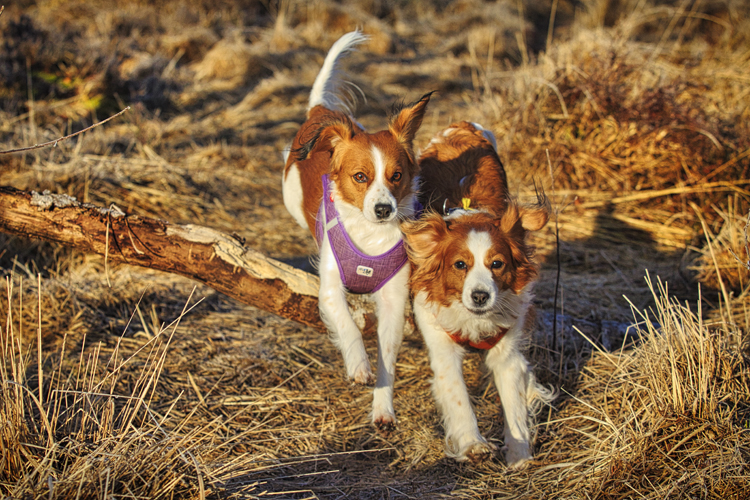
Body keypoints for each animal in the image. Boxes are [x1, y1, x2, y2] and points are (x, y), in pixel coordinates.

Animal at [282, 31, 434, 430]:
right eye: (360, 177)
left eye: (396, 176)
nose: (383, 209)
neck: (370, 236)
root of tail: (322, 113)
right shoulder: (330, 290)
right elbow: (348, 325)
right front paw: (359, 366)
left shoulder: (394, 302)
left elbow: (387, 357)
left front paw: (383, 406)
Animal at [402, 121, 556, 464]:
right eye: (460, 264)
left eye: (497, 264)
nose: (481, 296)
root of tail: (459, 126)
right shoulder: (441, 343)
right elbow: (459, 398)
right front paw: (473, 443)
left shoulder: (506, 349)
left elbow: (513, 402)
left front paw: (519, 454)